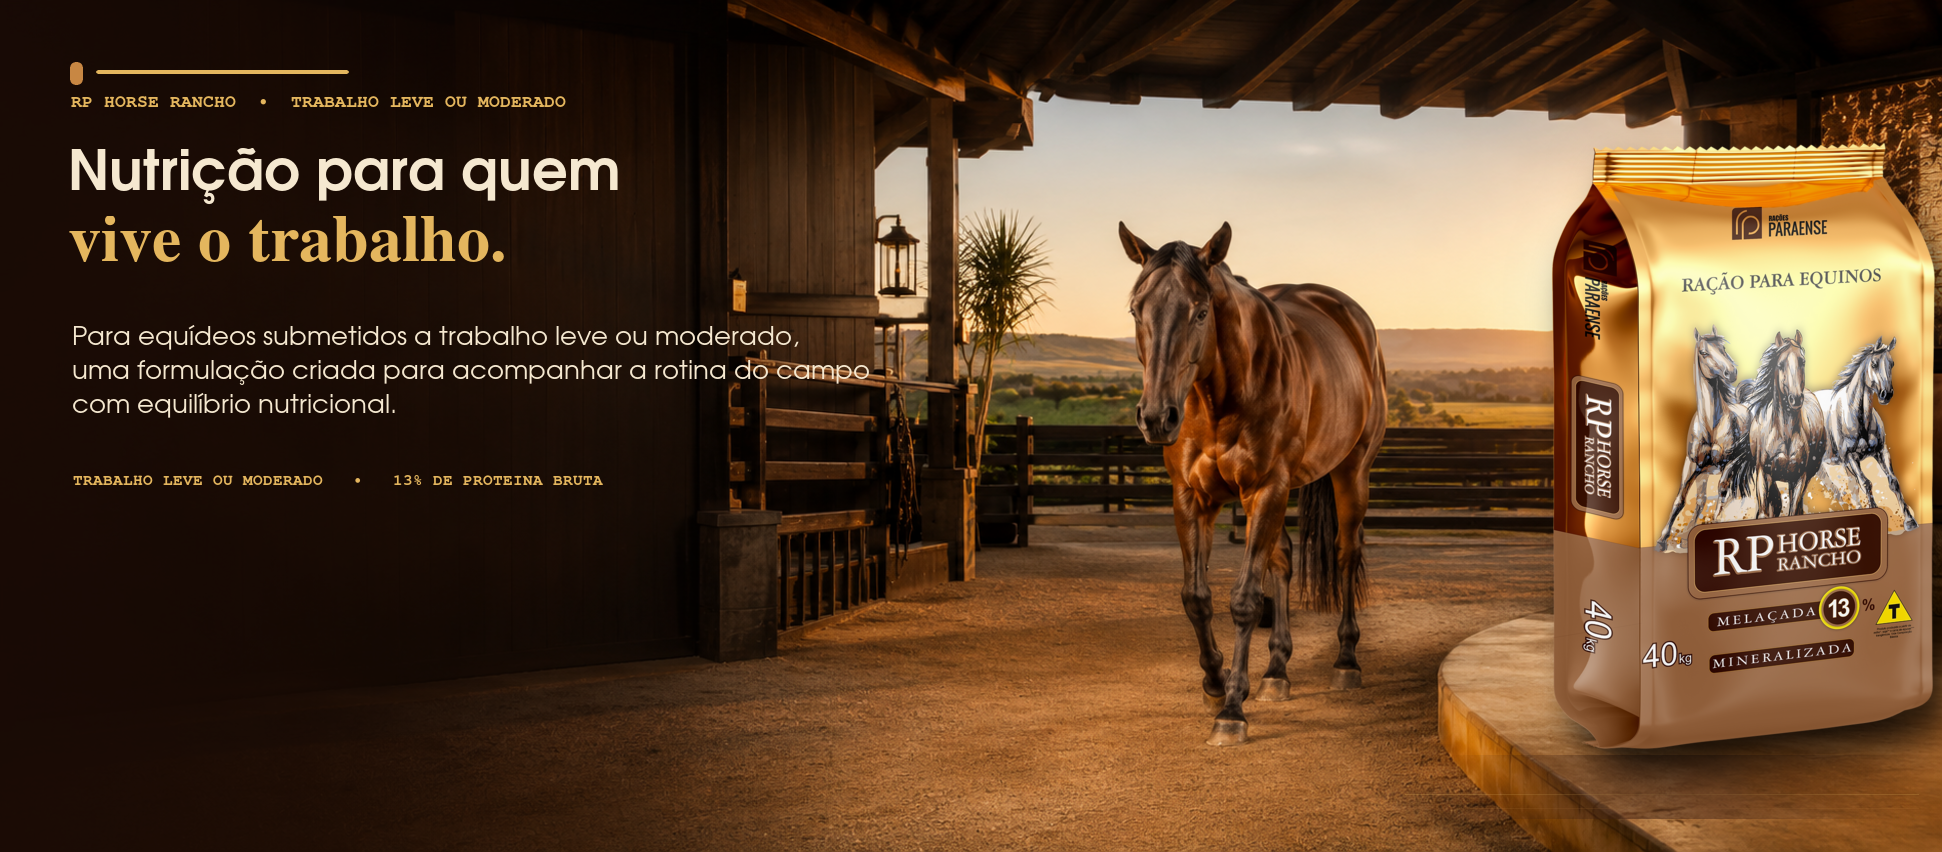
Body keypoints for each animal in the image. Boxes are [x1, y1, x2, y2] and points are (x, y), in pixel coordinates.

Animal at [1119, 222, 1386, 747]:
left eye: (1201, 311)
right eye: (1137, 309)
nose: (1157, 417)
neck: (1218, 396)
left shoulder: (1266, 489)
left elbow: (1243, 600)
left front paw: (1232, 710)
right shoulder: (1192, 498)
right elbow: (1197, 599)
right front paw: (1215, 683)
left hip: (1350, 472)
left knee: (1347, 554)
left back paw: (1346, 661)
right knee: (1282, 559)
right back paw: (1276, 670)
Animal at [1657, 328, 1748, 551]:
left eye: (1723, 348)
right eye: (1704, 352)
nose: (1731, 372)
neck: (1711, 425)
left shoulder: (1729, 462)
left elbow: (1722, 491)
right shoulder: (1692, 465)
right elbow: (1682, 500)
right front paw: (1662, 539)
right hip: (1705, 473)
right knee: (1702, 499)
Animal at [1723, 331, 1827, 519]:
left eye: (1802, 361)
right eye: (1780, 364)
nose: (1795, 399)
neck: (1785, 434)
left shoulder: (1799, 477)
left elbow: (1793, 511)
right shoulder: (1764, 475)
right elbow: (1765, 511)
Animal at [1814, 337, 1915, 530]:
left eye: (1892, 363)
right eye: (1874, 364)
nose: (1886, 394)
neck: (1856, 418)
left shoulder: (1881, 451)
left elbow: (1893, 481)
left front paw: (1910, 521)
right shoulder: (1850, 458)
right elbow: (1866, 484)